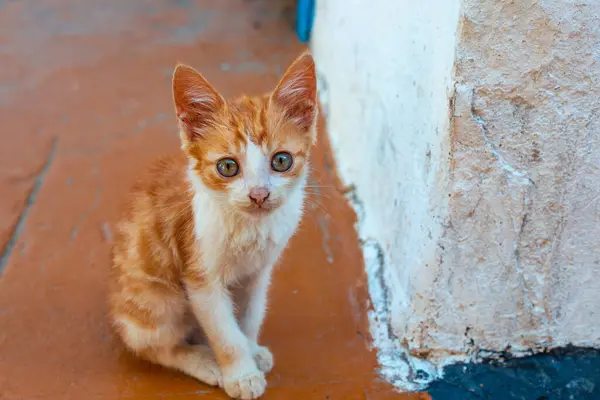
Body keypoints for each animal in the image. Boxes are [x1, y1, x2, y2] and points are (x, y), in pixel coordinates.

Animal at [110, 50, 322, 400]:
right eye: (227, 167)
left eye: (281, 160)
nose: (259, 194)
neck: (250, 229)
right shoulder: (200, 280)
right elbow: (225, 333)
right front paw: (241, 374)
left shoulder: (258, 272)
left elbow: (249, 316)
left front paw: (252, 349)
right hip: (157, 297)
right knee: (152, 346)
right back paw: (202, 359)